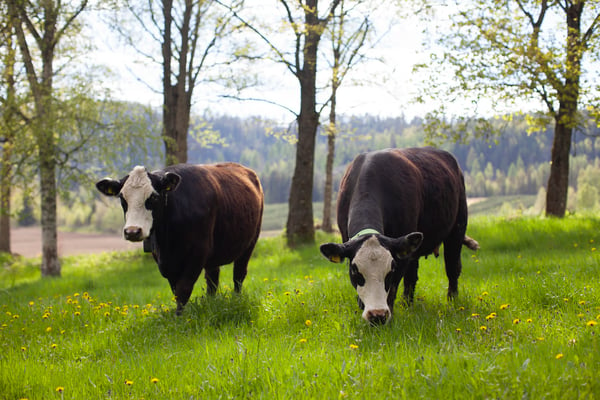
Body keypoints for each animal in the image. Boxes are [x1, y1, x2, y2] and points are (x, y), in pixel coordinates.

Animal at [322, 147, 480, 324]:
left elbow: (393, 288)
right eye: (355, 270)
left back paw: (452, 301)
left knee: (452, 268)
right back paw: (407, 305)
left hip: (457, 228)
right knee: (412, 276)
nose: (377, 315)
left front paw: (388, 316)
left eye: (391, 270)